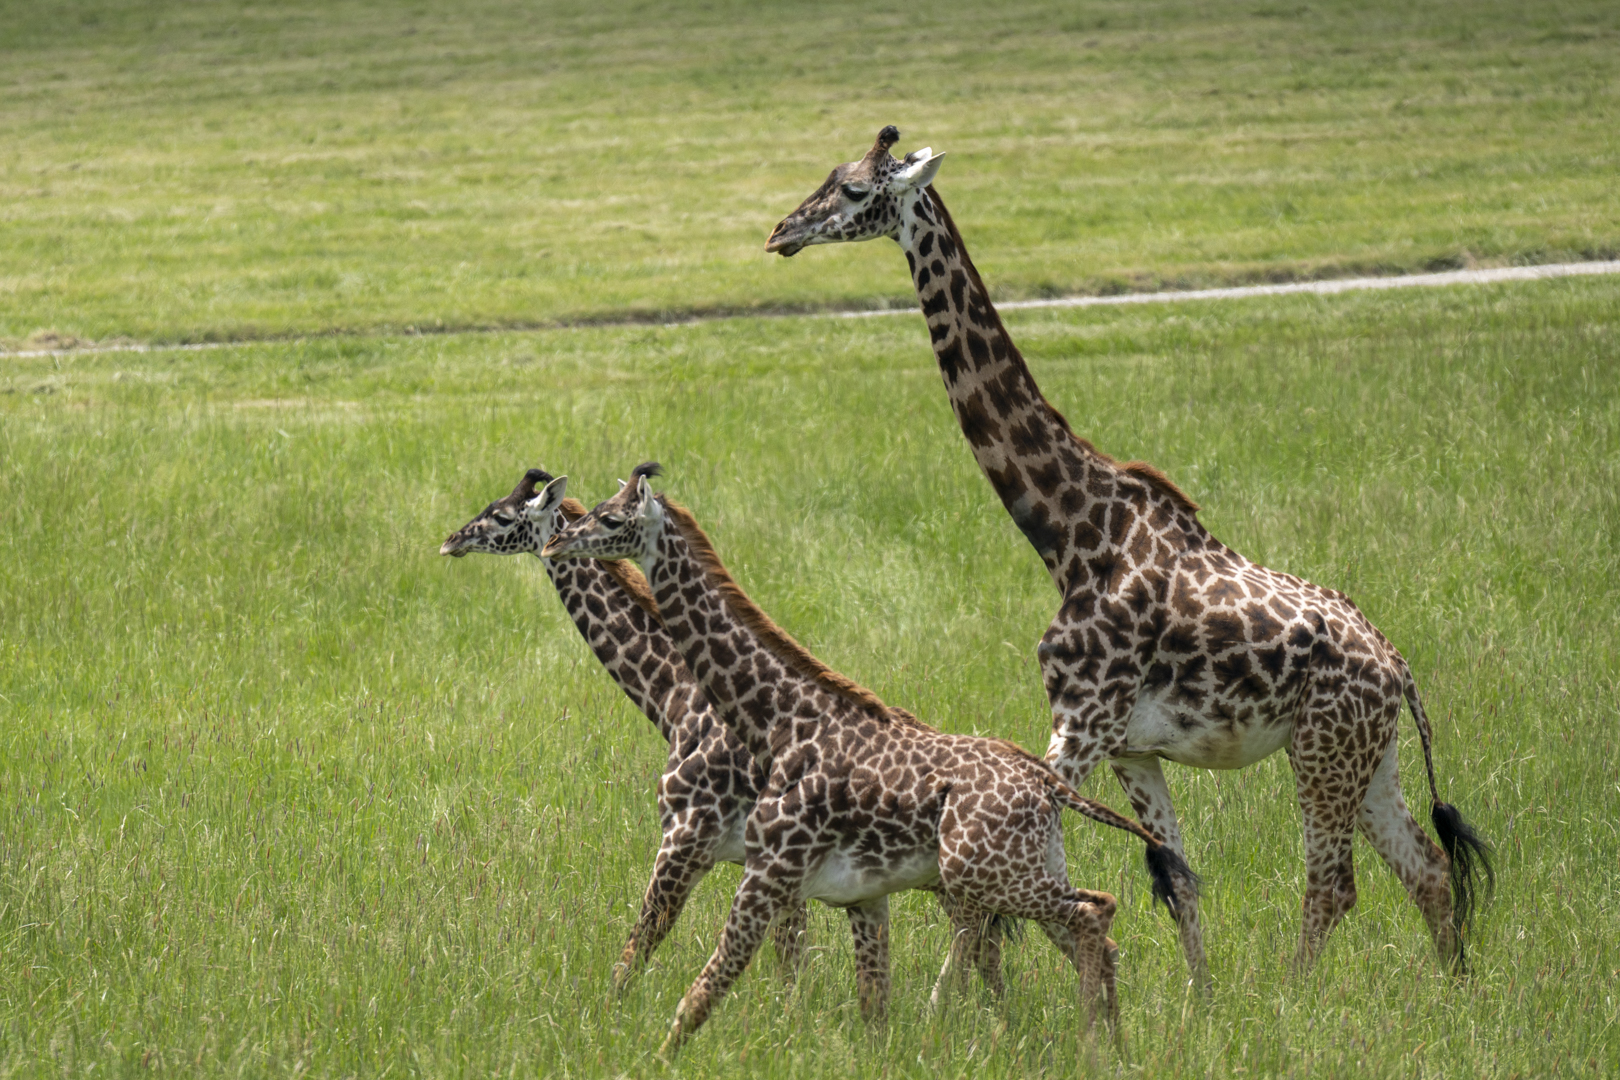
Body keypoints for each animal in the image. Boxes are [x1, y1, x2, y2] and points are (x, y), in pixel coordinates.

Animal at [439, 467, 809, 993]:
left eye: (504, 516)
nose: (451, 541)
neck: (676, 700)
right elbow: (791, 964)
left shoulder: (688, 838)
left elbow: (633, 956)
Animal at [541, 463, 1198, 1054]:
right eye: (592, 508)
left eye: (611, 517)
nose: (556, 539)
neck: (779, 723)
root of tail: (1049, 788)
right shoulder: (862, 896)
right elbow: (872, 1010)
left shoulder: (760, 869)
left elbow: (699, 988)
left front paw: (642, 1054)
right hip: (1017, 871)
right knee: (1087, 933)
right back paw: (1114, 1046)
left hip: (983, 875)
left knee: (1093, 915)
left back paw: (1090, 1046)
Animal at [765, 127, 1493, 985]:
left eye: (852, 190)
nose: (780, 232)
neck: (1071, 534)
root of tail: (1399, 670)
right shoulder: (1131, 747)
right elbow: (1178, 879)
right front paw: (1201, 1004)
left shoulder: (1079, 721)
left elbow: (982, 886)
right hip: (1370, 754)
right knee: (1426, 868)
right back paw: (1455, 992)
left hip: (1323, 747)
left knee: (1335, 882)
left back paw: (1297, 997)